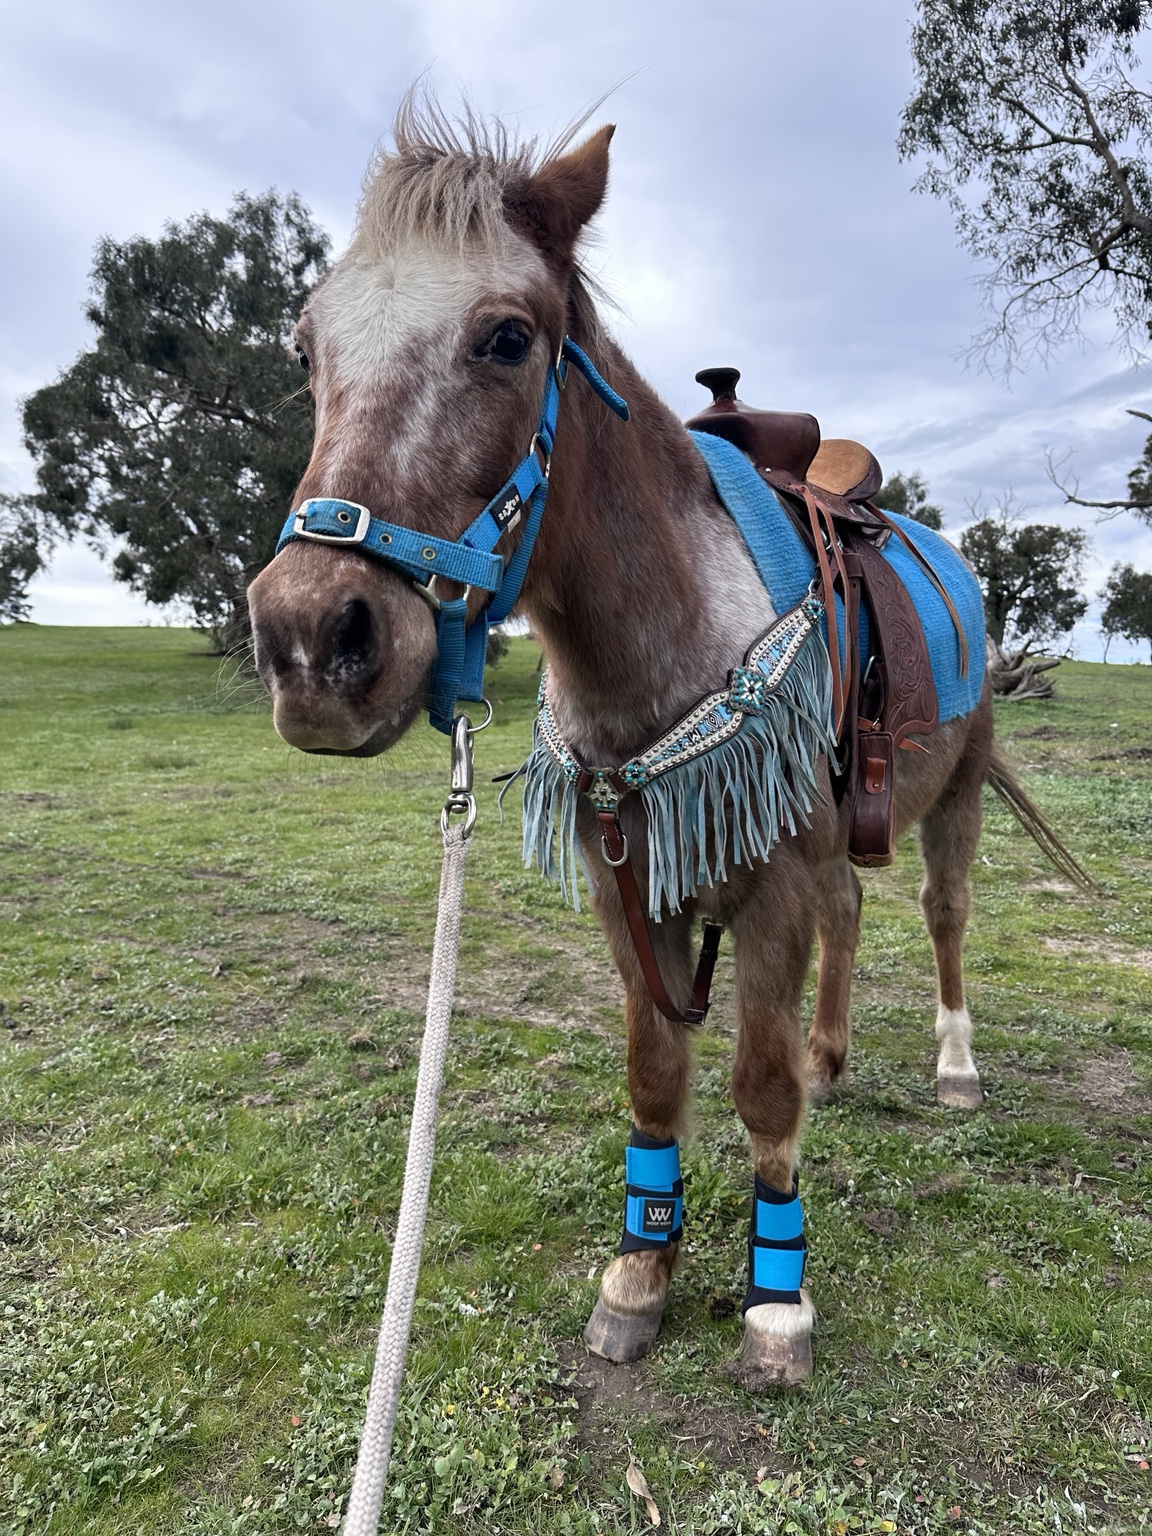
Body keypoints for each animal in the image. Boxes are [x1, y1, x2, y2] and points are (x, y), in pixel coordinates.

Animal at [245, 100, 1085, 1389]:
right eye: (304, 347)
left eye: (506, 338)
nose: (309, 641)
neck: (662, 645)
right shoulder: (627, 890)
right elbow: (656, 1079)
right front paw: (642, 1266)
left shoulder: (770, 890)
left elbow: (759, 1088)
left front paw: (775, 1302)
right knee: (855, 911)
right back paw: (838, 1055)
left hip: (953, 796)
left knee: (943, 917)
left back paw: (954, 1067)